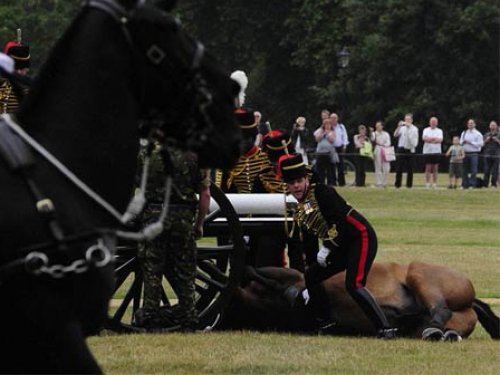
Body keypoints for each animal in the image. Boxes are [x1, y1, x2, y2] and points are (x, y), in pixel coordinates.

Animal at [219, 262, 500, 342]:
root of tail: (471, 302)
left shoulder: (289, 278)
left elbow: (252, 271)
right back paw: (440, 333)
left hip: (418, 273)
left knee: (438, 309)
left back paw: (429, 326)